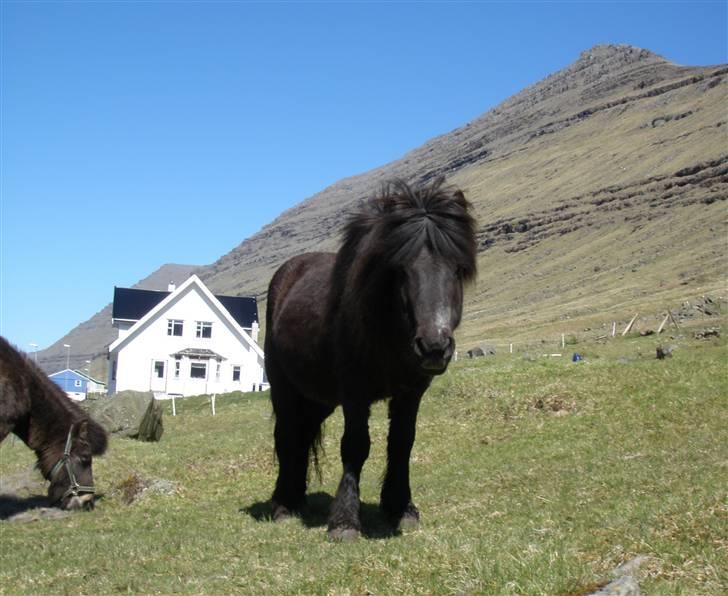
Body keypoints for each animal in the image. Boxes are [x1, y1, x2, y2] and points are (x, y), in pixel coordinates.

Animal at [266, 177, 478, 540]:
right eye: (401, 270)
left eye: (457, 269)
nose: (434, 347)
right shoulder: (355, 394)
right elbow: (355, 446)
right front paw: (345, 522)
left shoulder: (411, 393)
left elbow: (402, 443)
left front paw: (401, 508)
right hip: (283, 387)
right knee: (286, 436)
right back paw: (283, 504)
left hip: (319, 398)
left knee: (302, 436)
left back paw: (297, 498)